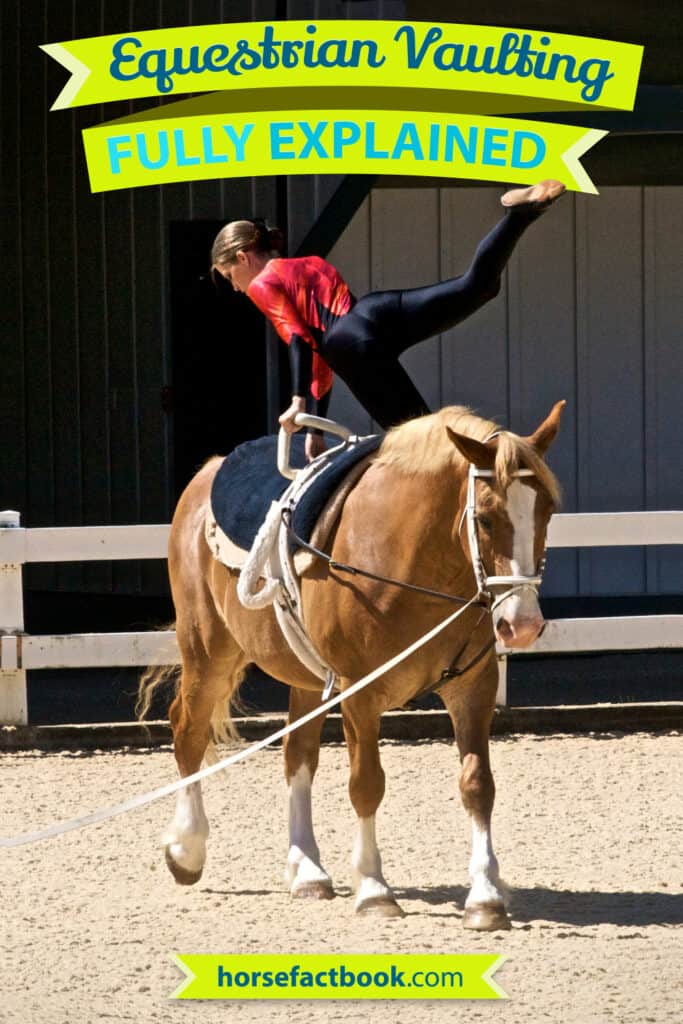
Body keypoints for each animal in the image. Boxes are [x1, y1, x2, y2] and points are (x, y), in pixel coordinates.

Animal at [138, 401, 564, 930]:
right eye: (484, 518)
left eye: (547, 510)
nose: (522, 624)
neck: (408, 561)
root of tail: (207, 474)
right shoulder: (361, 692)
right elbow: (366, 785)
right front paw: (374, 890)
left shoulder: (473, 688)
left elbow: (477, 785)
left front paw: (485, 898)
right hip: (207, 650)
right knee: (189, 730)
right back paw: (187, 849)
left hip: (305, 677)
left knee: (297, 755)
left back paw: (307, 871)